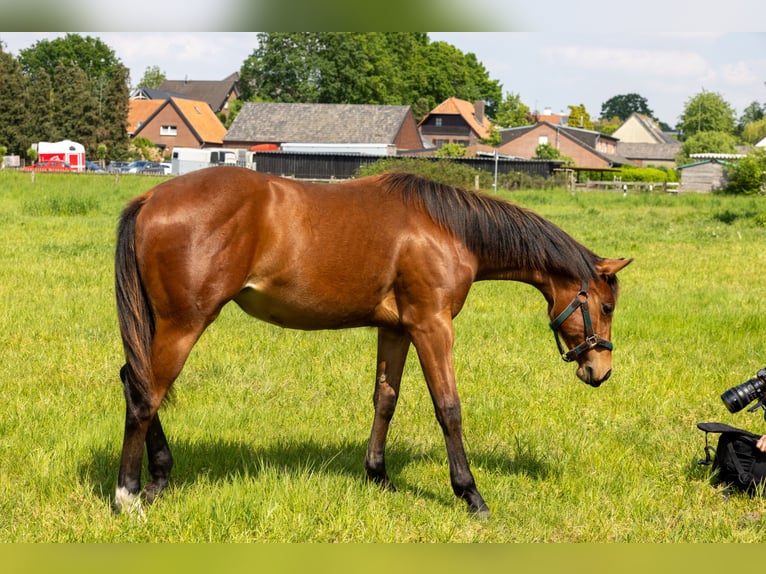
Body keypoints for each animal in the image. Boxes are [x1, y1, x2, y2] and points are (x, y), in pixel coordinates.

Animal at [113, 167, 632, 518]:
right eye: (606, 307)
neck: (446, 229)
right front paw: (470, 494)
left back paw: (158, 478)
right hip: (184, 324)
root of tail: (151, 196)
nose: (600, 371)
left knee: (134, 381)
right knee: (145, 395)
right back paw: (128, 495)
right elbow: (448, 407)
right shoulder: (431, 326)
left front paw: (378, 475)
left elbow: (386, 399)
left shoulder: (396, 329)